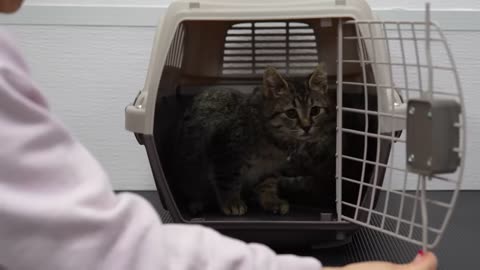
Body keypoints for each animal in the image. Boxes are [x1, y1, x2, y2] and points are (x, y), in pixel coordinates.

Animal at [172, 62, 334, 215]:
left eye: (315, 110)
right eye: (291, 113)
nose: (307, 127)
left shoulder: (270, 167)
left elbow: (268, 183)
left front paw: (271, 200)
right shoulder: (225, 151)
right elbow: (227, 179)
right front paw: (231, 201)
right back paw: (197, 203)